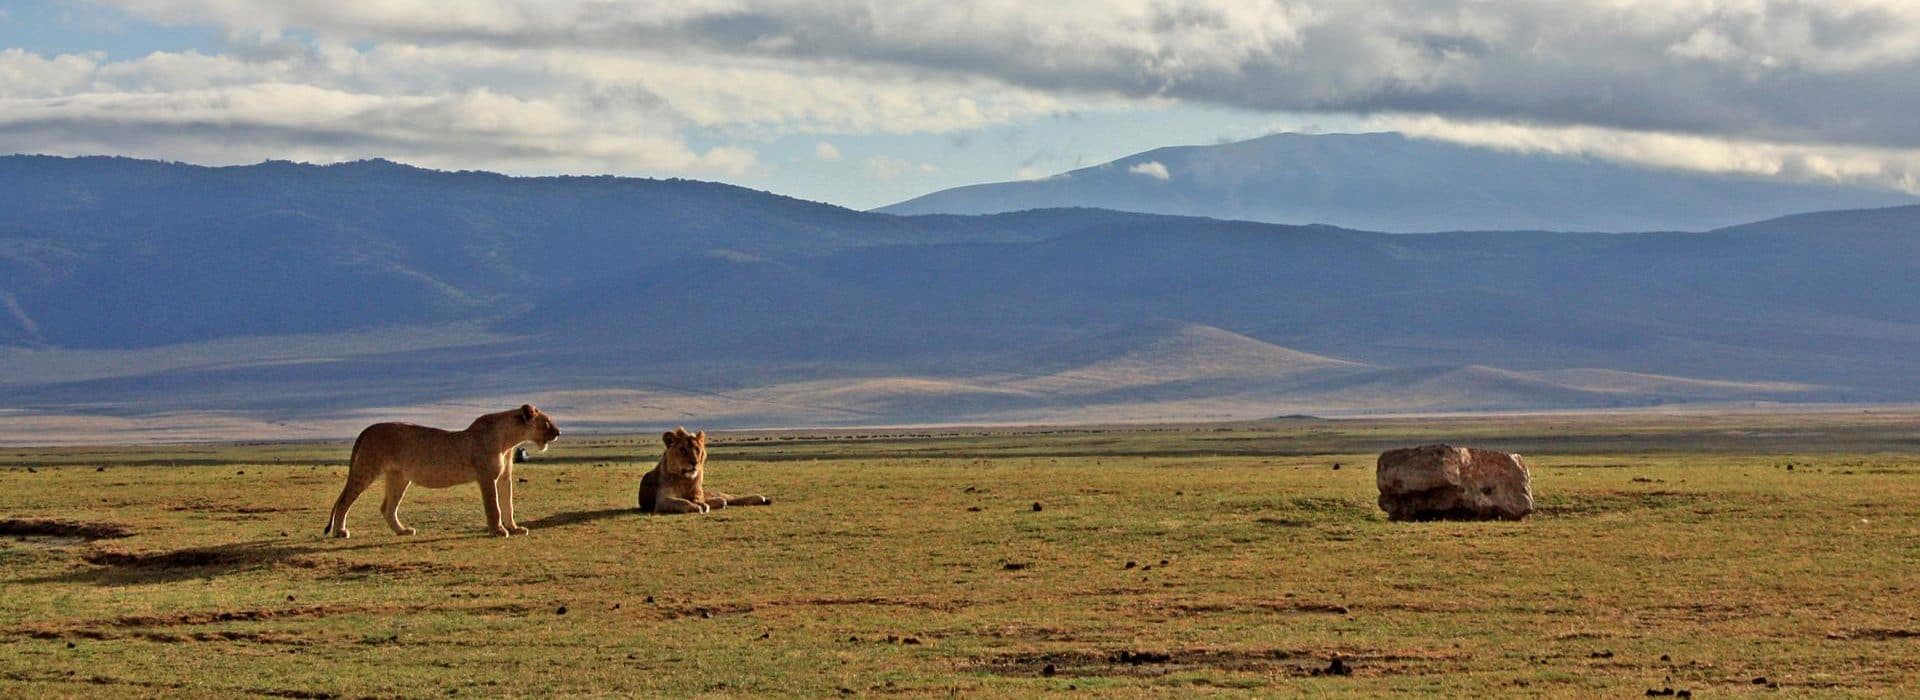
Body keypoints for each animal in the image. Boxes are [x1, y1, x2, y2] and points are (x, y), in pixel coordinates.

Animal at [323, 404, 561, 538]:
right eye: (546, 422)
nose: (559, 432)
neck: (509, 441)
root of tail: (368, 428)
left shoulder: (504, 478)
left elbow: (508, 505)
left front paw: (515, 528)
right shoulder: (487, 477)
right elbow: (494, 507)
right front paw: (498, 531)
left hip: (398, 477)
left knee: (387, 507)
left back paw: (403, 531)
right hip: (366, 469)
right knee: (344, 501)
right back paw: (340, 532)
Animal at [636, 427, 771, 514]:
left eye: (697, 449)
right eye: (683, 450)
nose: (694, 462)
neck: (685, 479)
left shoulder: (698, 493)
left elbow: (697, 500)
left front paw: (700, 504)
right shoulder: (662, 501)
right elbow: (682, 502)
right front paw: (696, 507)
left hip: (711, 493)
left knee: (731, 497)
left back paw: (761, 498)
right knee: (724, 500)